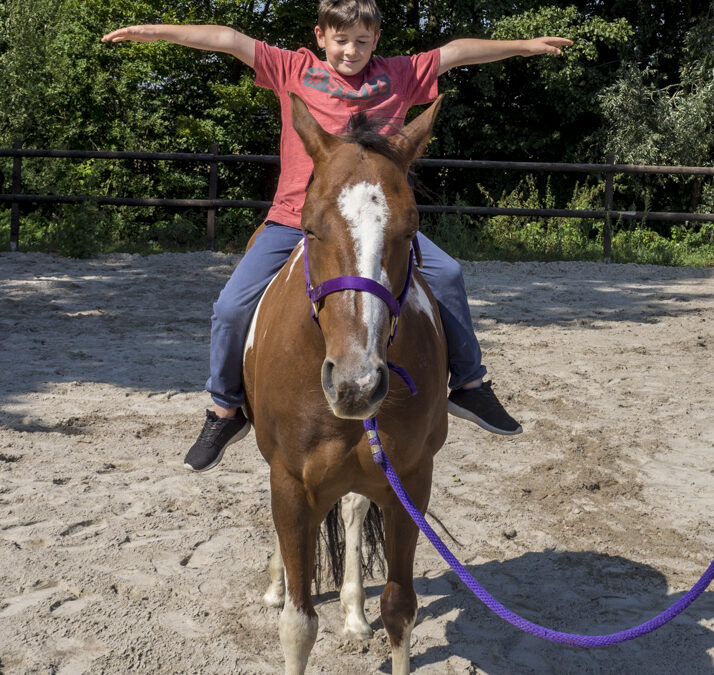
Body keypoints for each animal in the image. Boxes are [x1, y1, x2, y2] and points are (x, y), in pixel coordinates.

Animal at [242, 91, 448, 675]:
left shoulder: (410, 483)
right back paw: (277, 583)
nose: (356, 384)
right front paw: (285, 589)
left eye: (410, 231)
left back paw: (354, 613)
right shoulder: (290, 483)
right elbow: (298, 624)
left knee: (354, 511)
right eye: (310, 227)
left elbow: (400, 608)